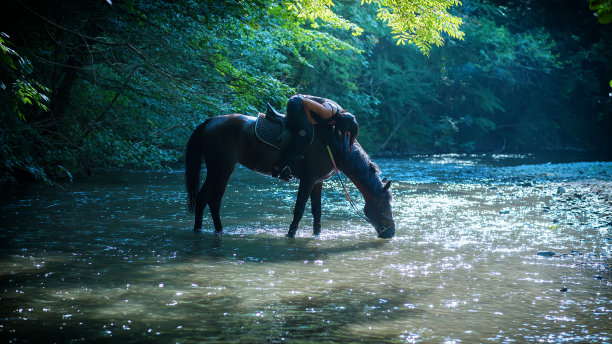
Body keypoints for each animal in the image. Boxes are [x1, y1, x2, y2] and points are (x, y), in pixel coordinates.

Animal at [184, 111, 394, 239]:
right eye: (384, 203)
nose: (391, 232)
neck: (331, 145)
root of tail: (211, 121)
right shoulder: (307, 180)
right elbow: (299, 210)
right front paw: (290, 235)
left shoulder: (317, 183)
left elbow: (317, 211)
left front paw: (317, 235)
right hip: (224, 168)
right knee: (214, 200)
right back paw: (220, 231)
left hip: (214, 169)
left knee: (201, 198)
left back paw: (198, 230)